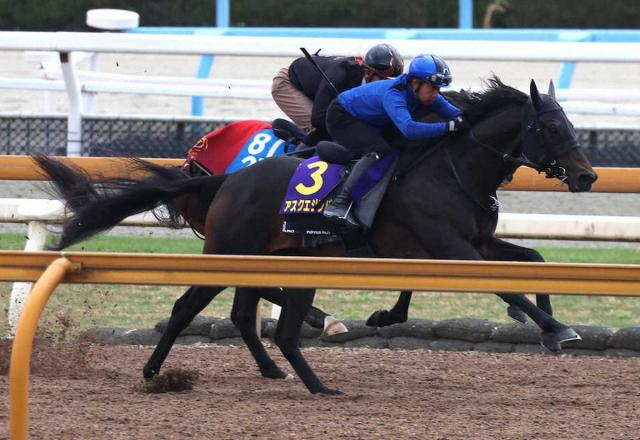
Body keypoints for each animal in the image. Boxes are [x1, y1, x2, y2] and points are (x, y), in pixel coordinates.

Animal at [35, 78, 597, 395]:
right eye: (551, 128)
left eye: (571, 123)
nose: (587, 176)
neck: (455, 168)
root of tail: (223, 179)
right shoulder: (451, 249)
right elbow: (507, 287)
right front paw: (556, 328)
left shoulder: (472, 244)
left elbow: (533, 259)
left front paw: (553, 329)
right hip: (229, 250)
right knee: (185, 306)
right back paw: (154, 371)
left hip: (265, 253)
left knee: (239, 313)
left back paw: (274, 367)